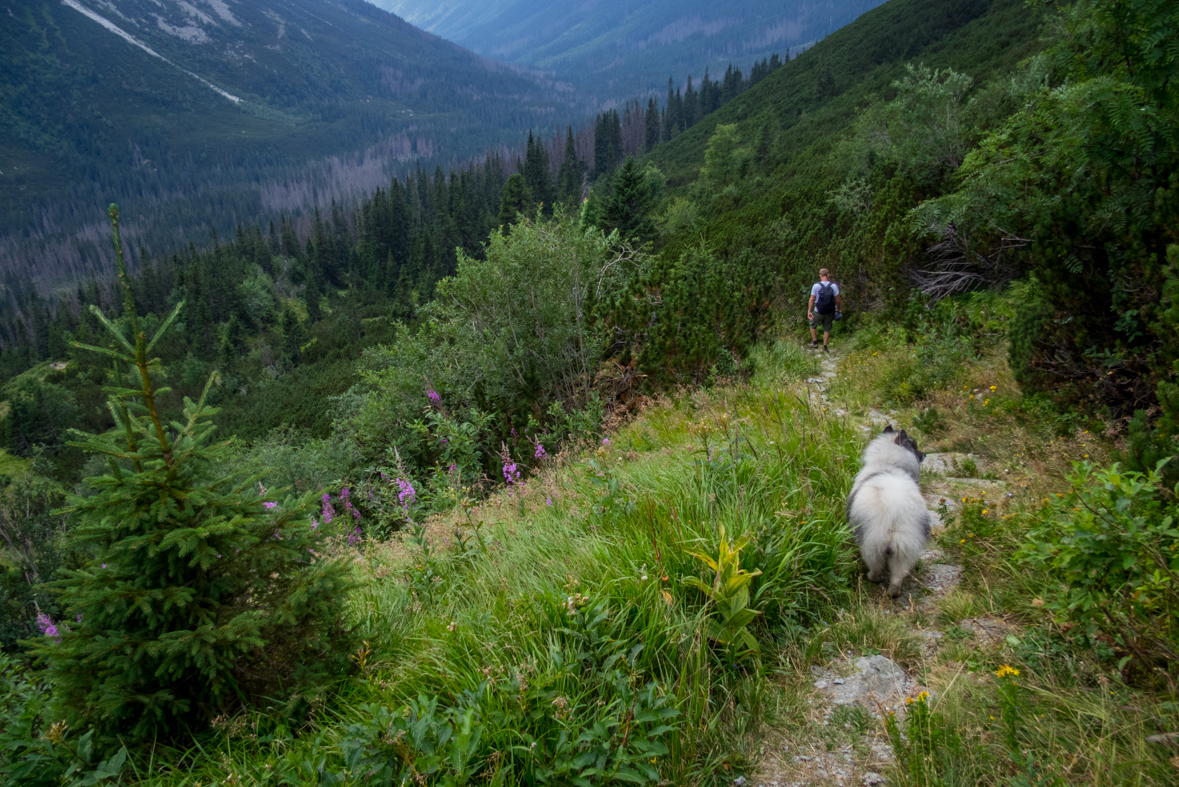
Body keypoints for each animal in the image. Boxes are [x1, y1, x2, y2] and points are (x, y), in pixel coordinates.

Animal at [848, 424, 929, 596]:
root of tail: (895, 510)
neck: (888, 464)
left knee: (875, 565)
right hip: (905, 545)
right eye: (914, 445)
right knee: (899, 573)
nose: (925, 454)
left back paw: (873, 578)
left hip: (871, 541)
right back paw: (894, 592)